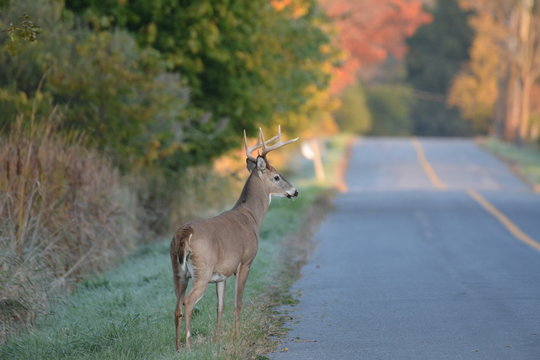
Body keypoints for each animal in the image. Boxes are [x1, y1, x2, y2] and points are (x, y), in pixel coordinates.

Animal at [170, 126, 300, 348]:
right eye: (276, 177)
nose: (295, 191)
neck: (251, 216)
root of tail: (185, 233)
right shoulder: (245, 261)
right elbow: (238, 301)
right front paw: (237, 336)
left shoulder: (221, 274)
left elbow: (220, 305)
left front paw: (217, 338)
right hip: (201, 270)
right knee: (188, 302)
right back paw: (188, 346)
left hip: (178, 272)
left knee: (176, 306)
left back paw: (178, 348)